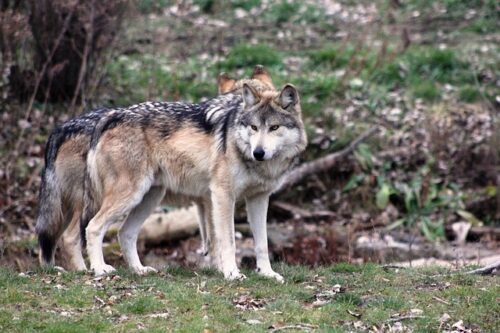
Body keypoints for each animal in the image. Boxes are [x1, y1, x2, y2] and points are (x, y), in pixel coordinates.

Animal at [83, 76, 306, 278]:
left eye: (274, 127)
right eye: (254, 127)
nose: (258, 152)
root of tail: (113, 114)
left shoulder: (258, 198)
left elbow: (262, 243)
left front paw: (267, 273)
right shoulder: (223, 195)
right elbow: (228, 241)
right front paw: (232, 273)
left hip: (149, 198)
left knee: (125, 234)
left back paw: (139, 270)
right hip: (131, 195)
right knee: (93, 227)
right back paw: (100, 269)